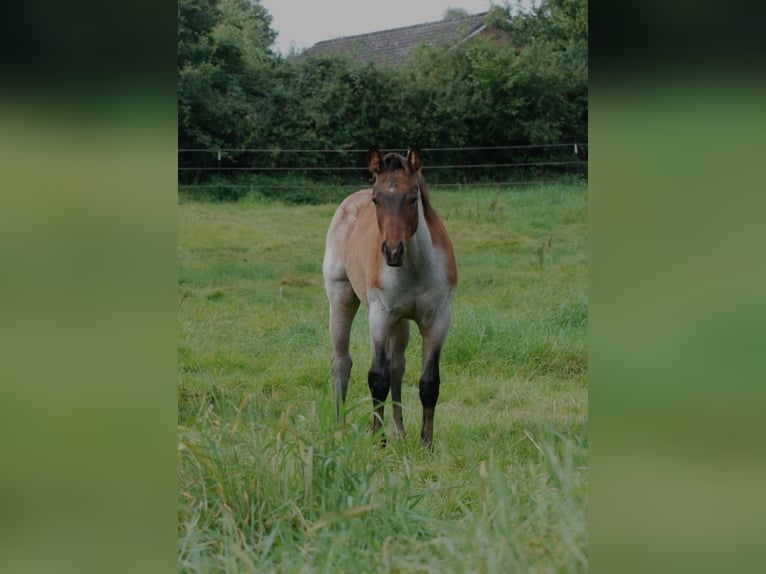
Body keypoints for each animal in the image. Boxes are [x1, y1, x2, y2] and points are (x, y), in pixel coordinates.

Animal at [322, 146, 458, 450]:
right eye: (377, 199)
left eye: (413, 197)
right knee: (341, 362)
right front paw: (378, 441)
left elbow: (428, 383)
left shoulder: (438, 321)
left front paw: (426, 444)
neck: (416, 267)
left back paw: (400, 430)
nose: (393, 251)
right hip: (341, 297)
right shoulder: (380, 316)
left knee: (397, 365)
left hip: (401, 321)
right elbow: (378, 378)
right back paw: (339, 429)